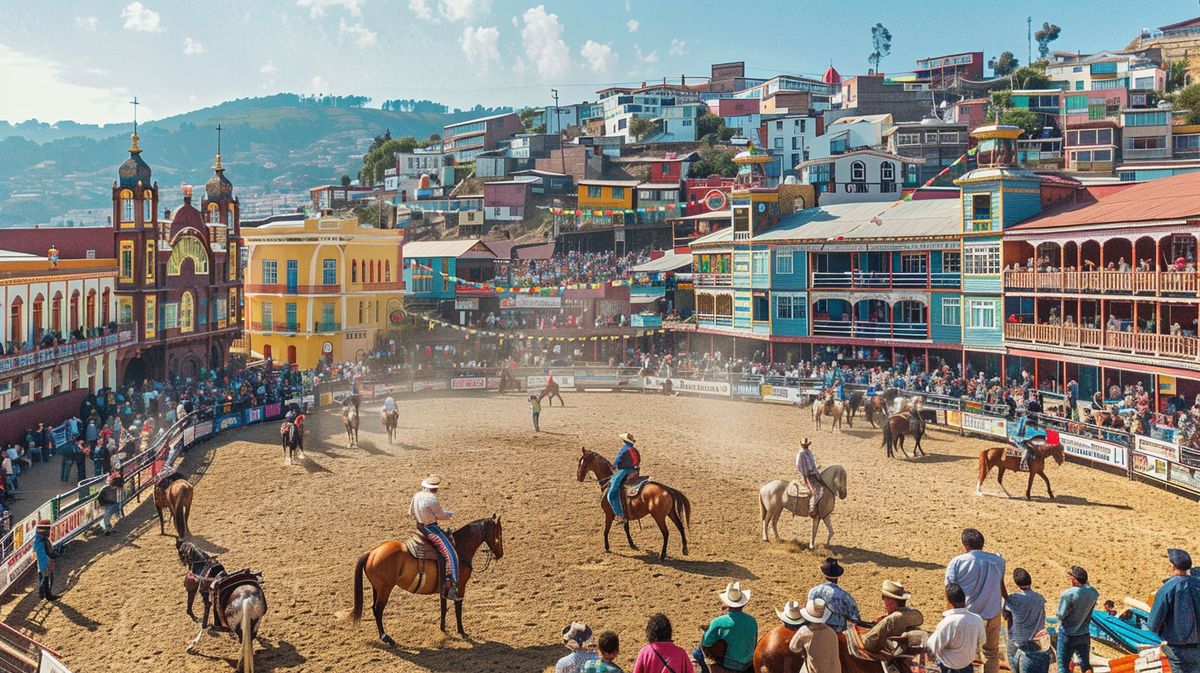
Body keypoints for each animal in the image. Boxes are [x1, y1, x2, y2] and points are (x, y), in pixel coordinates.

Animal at [177, 539, 267, 671]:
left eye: (180, 551)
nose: (181, 562)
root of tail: (248, 598)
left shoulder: (205, 599)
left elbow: (203, 620)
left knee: (243, 644)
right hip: (254, 623)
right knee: (248, 640)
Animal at [345, 511, 504, 643]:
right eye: (500, 533)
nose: (501, 554)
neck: (459, 547)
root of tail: (372, 552)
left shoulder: (444, 586)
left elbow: (443, 606)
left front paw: (443, 629)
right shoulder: (460, 586)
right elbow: (458, 608)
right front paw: (462, 631)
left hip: (376, 588)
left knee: (374, 608)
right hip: (385, 589)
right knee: (378, 609)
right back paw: (386, 637)